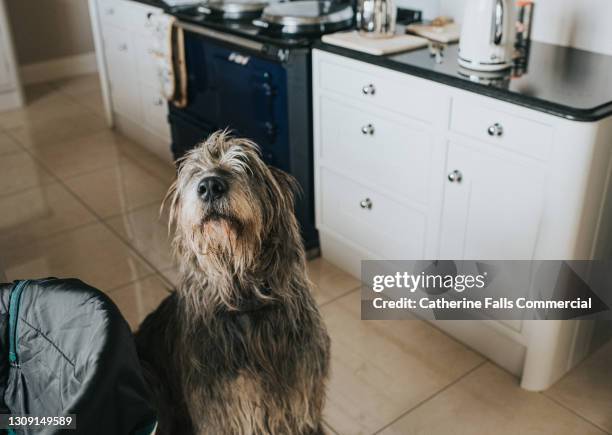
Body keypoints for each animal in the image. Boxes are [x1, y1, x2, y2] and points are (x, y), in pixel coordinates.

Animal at [134, 131, 330, 434]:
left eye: (244, 165)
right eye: (194, 171)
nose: (210, 186)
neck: (244, 301)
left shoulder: (302, 405)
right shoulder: (224, 414)